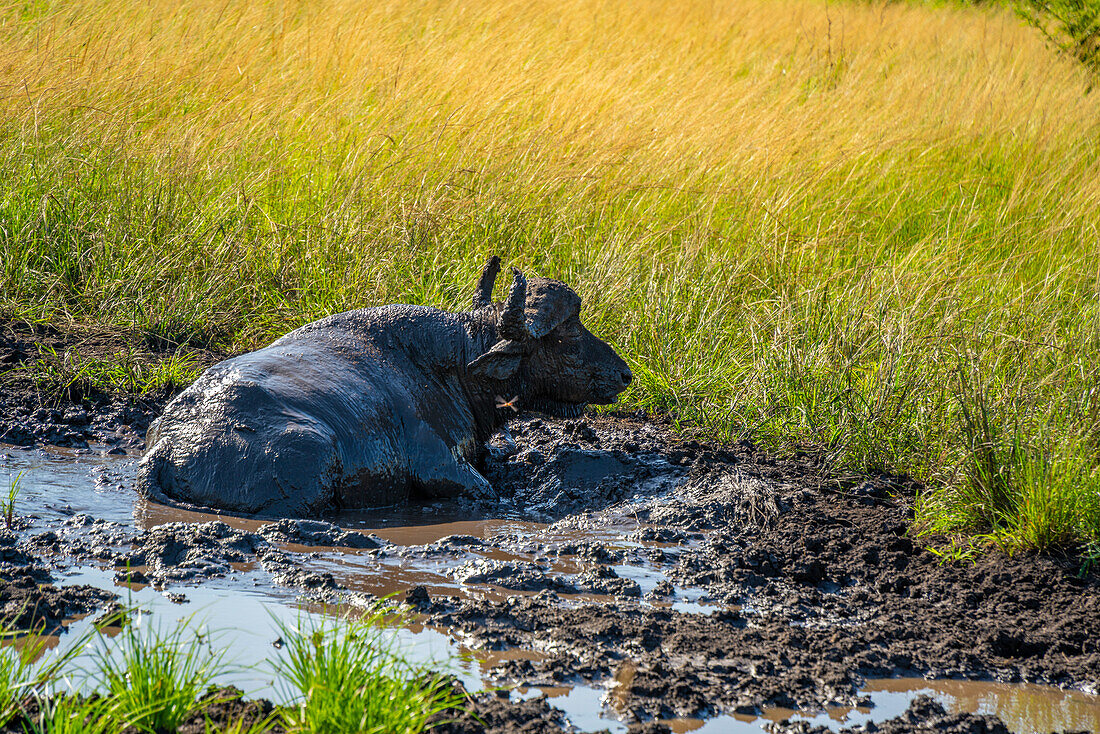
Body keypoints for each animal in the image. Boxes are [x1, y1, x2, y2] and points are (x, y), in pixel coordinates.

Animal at [137, 258, 633, 517]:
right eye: (567, 333)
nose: (625, 374)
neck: (453, 366)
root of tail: (165, 445)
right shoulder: (441, 470)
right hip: (314, 457)